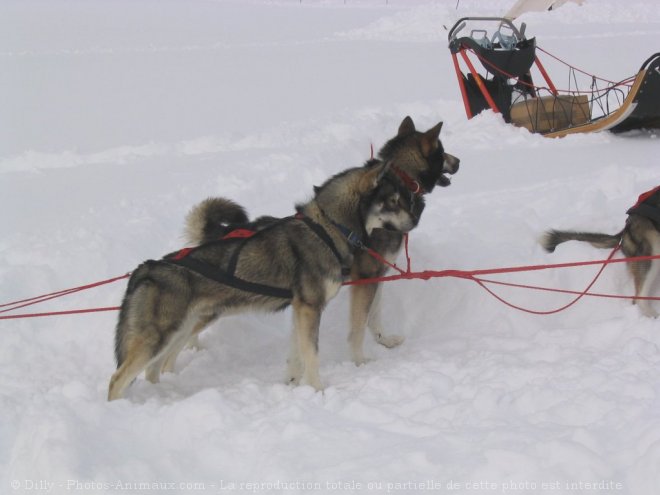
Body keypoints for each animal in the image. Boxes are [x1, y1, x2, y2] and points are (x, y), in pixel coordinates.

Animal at [107, 165, 418, 402]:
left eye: (401, 197)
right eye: (392, 200)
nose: (415, 220)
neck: (328, 229)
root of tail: (146, 268)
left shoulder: (300, 310)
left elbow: (297, 354)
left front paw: (294, 384)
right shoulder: (310, 308)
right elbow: (313, 354)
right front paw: (318, 390)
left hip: (179, 331)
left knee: (153, 370)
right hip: (157, 338)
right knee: (117, 380)